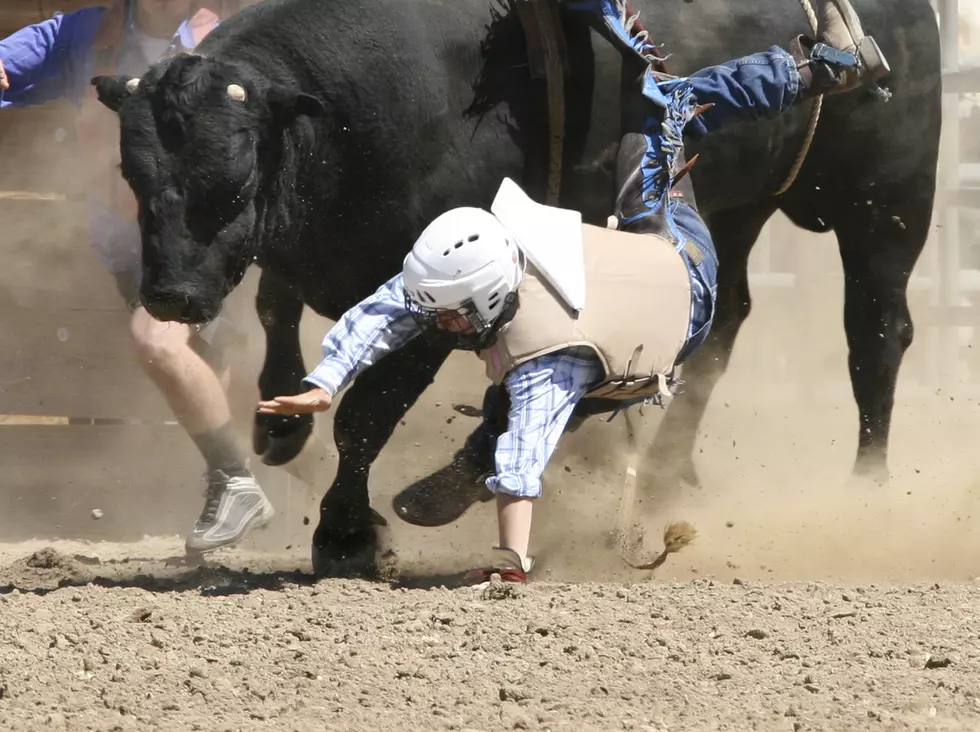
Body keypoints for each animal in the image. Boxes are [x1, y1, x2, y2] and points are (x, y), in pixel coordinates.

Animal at [94, 0, 940, 576]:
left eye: (234, 185)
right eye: (134, 177)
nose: (170, 297)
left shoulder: (433, 303)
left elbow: (367, 416)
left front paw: (346, 535)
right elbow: (279, 309)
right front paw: (278, 422)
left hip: (887, 201)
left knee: (875, 333)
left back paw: (867, 491)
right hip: (735, 206)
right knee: (722, 323)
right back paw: (663, 478)